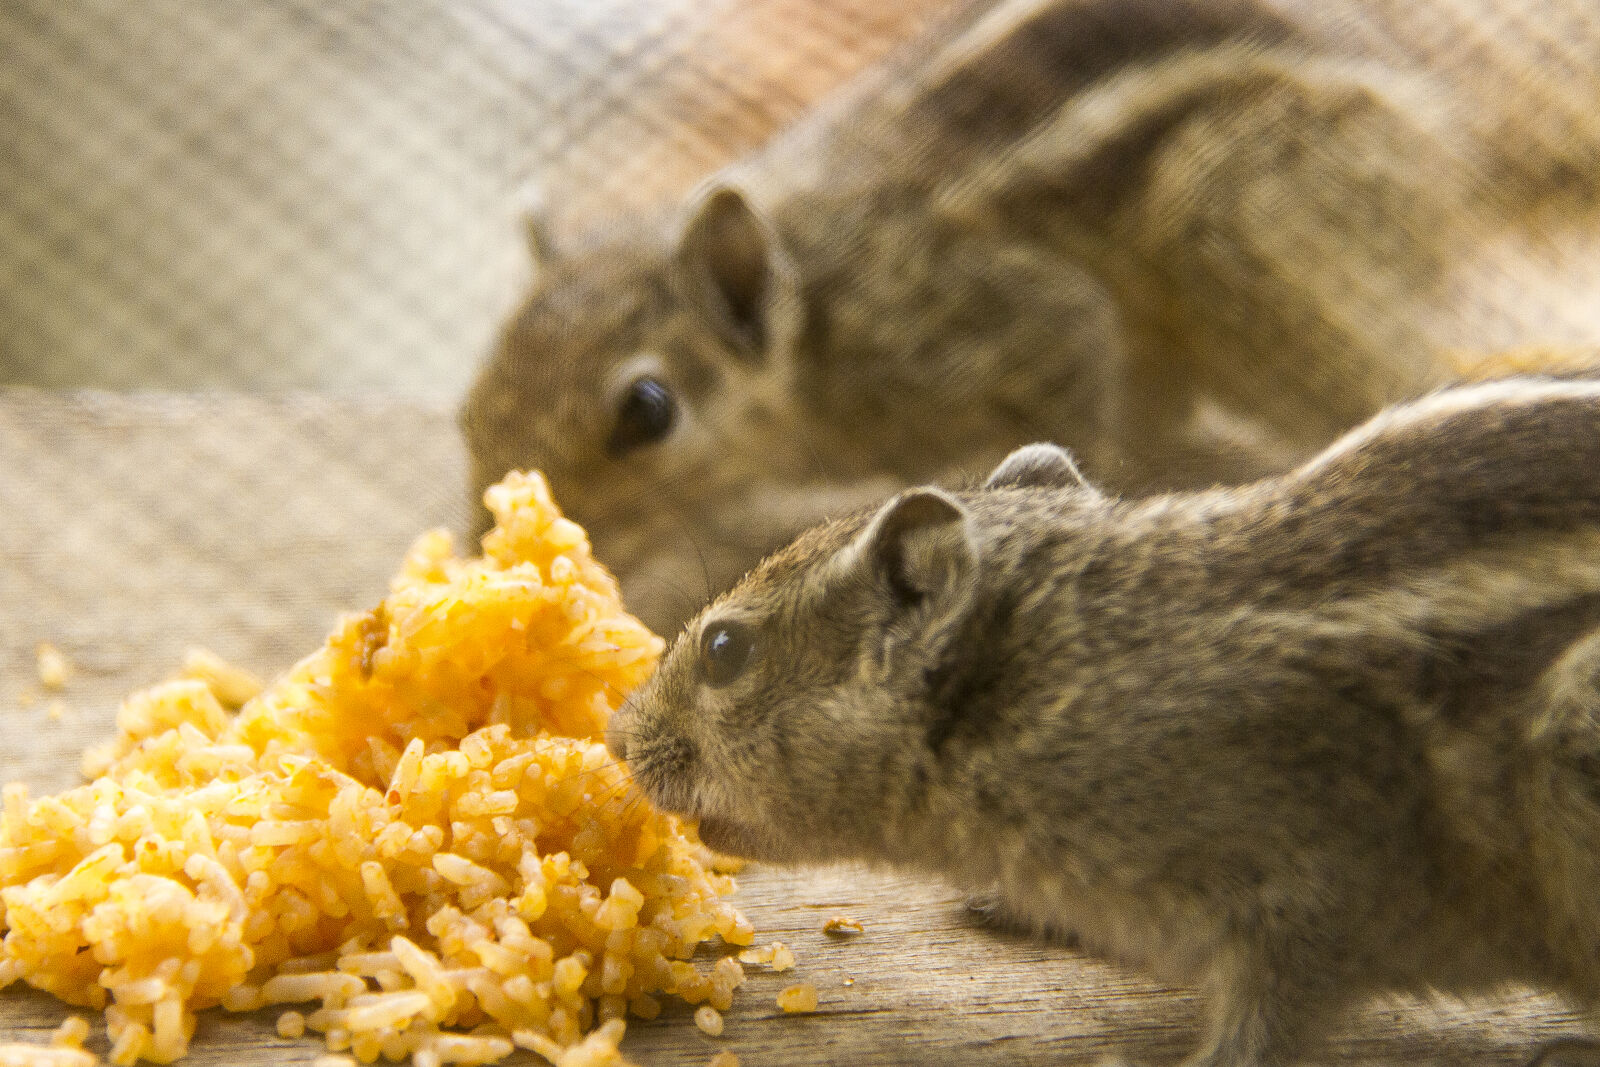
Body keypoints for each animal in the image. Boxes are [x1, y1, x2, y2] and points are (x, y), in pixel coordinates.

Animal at [462, 0, 1600, 635]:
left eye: (647, 410)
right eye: (472, 406)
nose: (487, 542)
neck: (823, 306)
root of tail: (1454, 146)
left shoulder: (1012, 328)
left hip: (1239, 223)